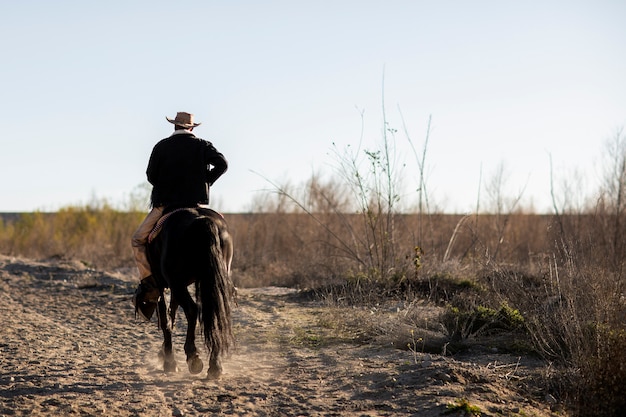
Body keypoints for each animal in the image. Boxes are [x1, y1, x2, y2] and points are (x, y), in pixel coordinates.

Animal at [147, 205, 235, 376]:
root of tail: (201, 220)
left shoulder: (163, 284)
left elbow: (166, 318)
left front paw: (169, 361)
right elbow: (172, 313)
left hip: (177, 283)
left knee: (192, 309)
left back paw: (193, 357)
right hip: (211, 278)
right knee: (213, 312)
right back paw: (215, 366)